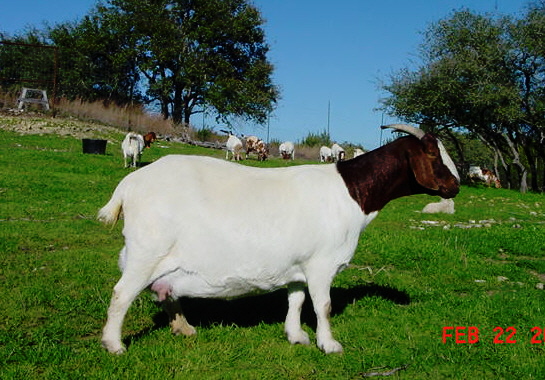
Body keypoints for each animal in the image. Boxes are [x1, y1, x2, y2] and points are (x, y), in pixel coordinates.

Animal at [99, 123, 460, 354]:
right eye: (433, 154)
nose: (455, 186)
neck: (351, 192)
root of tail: (129, 185)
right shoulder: (321, 264)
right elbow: (324, 305)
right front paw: (329, 345)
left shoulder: (298, 266)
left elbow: (296, 300)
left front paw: (296, 336)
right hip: (146, 251)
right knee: (121, 293)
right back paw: (114, 344)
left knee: (162, 291)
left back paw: (184, 327)